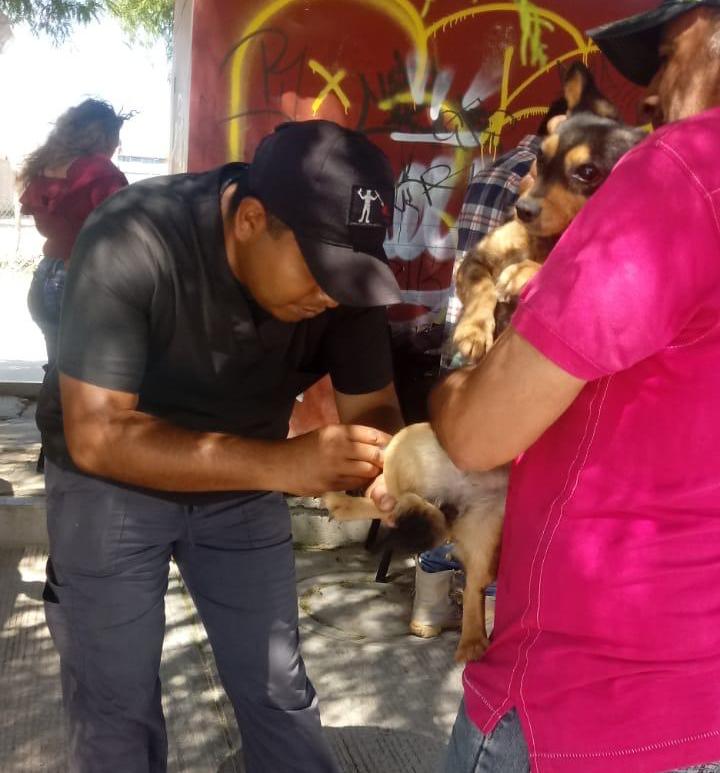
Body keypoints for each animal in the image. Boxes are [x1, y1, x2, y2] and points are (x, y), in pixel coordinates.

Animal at [324, 65, 645, 664]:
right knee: (386, 503)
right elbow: (479, 291)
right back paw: (346, 502)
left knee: (465, 577)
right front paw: (475, 335)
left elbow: (534, 270)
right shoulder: (477, 260)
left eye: (588, 172)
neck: (547, 239)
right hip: (410, 450)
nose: (523, 208)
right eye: (539, 159)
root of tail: (456, 501)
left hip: (483, 532)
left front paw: (525, 276)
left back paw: (473, 639)